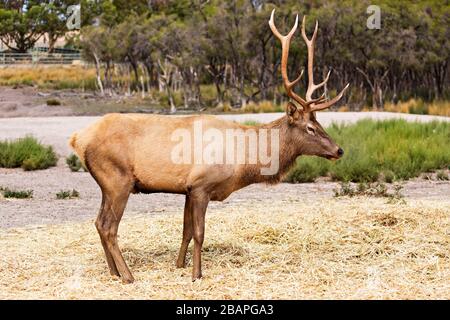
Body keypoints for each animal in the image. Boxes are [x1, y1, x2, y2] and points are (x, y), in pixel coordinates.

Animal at [70, 10, 348, 284]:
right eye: (310, 128)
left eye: (319, 122)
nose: (339, 150)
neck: (243, 161)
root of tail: (77, 138)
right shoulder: (201, 185)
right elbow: (199, 233)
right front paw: (197, 275)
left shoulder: (187, 189)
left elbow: (185, 231)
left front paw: (180, 265)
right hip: (118, 180)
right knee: (109, 226)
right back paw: (128, 276)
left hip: (107, 184)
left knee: (98, 223)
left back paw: (113, 272)